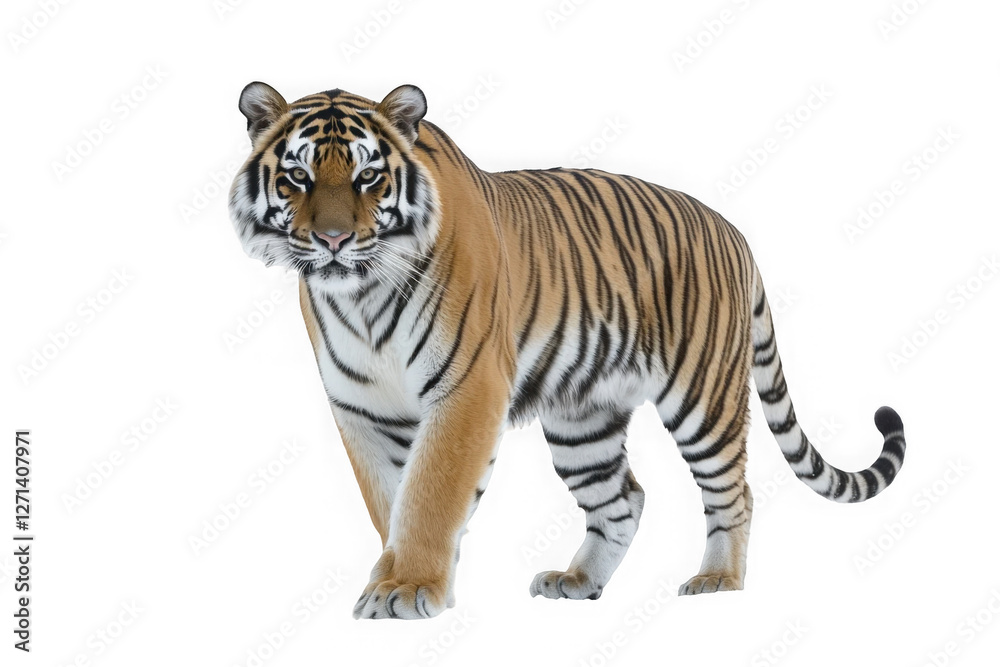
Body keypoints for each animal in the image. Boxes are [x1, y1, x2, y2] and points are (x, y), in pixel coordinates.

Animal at [228, 82, 906, 620]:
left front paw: (409, 588)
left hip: (703, 399)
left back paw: (718, 580)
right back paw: (579, 582)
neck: (360, 295)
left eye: (368, 176)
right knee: (624, 499)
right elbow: (390, 501)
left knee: (732, 492)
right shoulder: (362, 409)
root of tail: (734, 231)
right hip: (583, 417)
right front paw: (400, 577)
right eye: (297, 176)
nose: (333, 240)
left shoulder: (466, 391)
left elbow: (431, 493)